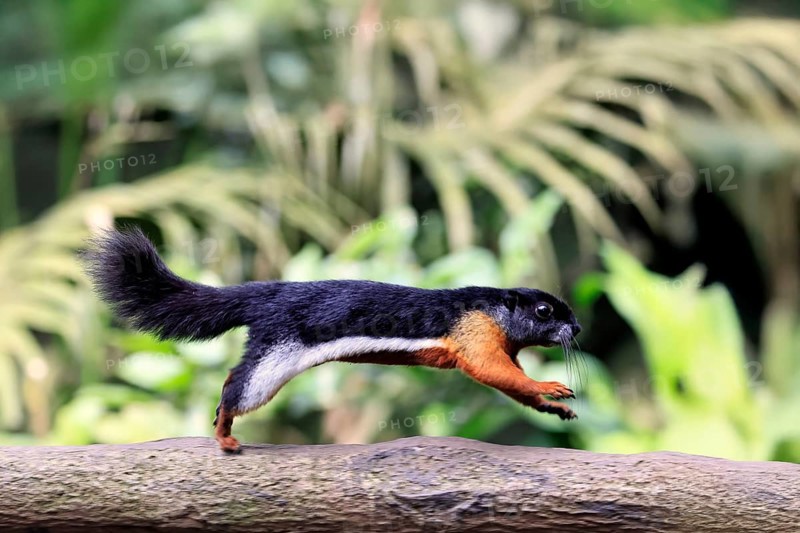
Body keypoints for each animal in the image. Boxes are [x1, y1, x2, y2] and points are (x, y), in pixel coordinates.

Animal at [81, 228, 582, 453]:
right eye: (544, 311)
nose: (577, 329)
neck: (494, 307)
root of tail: (269, 292)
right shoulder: (475, 334)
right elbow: (492, 370)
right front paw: (552, 387)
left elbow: (511, 382)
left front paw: (553, 407)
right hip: (277, 353)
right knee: (237, 389)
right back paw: (225, 435)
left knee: (230, 376)